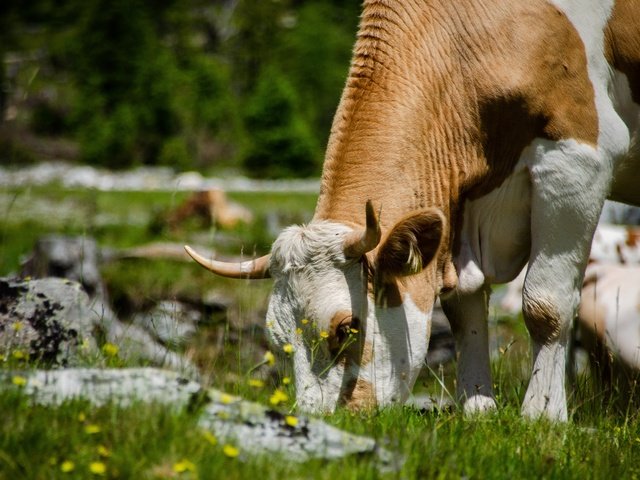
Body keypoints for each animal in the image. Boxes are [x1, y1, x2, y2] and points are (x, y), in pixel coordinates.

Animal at [182, 0, 636, 420]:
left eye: (347, 328)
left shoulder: (578, 158)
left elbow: (546, 305)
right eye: (279, 343)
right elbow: (464, 306)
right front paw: (477, 407)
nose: (320, 418)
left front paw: (542, 416)